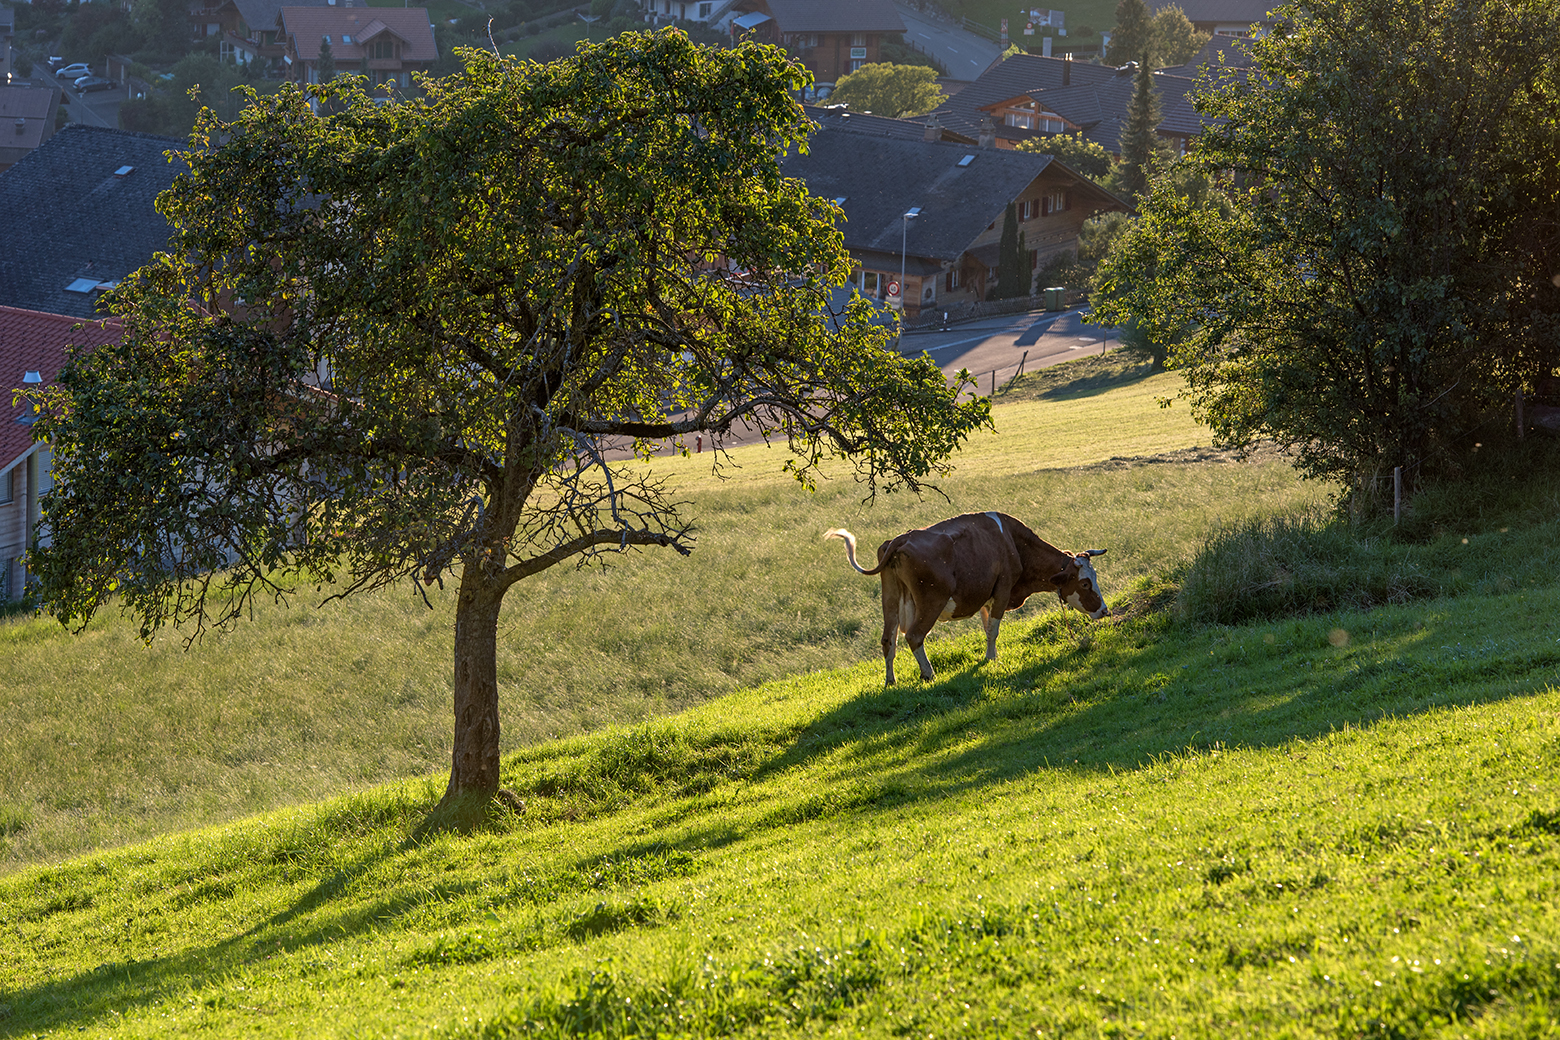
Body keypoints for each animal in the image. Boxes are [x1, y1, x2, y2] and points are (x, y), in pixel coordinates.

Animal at [829, 511, 1110, 686]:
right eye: (1085, 583)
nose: (1105, 611)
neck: (1012, 541)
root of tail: (902, 538)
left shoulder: (986, 596)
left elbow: (986, 628)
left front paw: (990, 656)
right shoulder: (1002, 589)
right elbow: (994, 629)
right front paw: (991, 659)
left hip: (891, 599)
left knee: (889, 639)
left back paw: (891, 681)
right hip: (931, 602)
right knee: (914, 636)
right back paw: (929, 674)